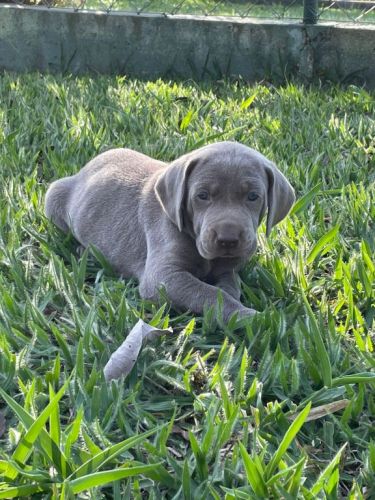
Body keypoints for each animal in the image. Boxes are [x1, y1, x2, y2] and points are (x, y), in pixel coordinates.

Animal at [44, 141, 296, 320]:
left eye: (253, 196)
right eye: (202, 195)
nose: (228, 239)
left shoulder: (229, 268)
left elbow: (227, 287)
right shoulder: (162, 277)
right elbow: (209, 294)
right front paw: (252, 317)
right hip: (53, 195)